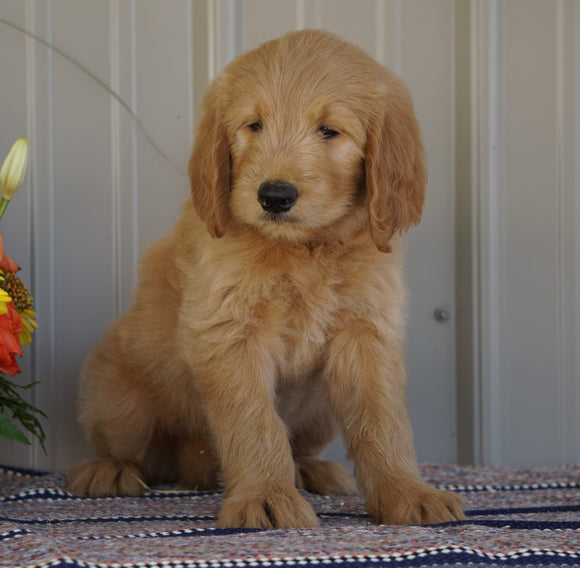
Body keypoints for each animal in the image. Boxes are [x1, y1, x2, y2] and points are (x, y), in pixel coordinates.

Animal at [68, 30, 464, 528]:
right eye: (254, 125)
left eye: (329, 130)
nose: (274, 196)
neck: (305, 249)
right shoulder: (230, 330)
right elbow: (254, 420)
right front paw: (265, 496)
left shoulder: (367, 331)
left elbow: (383, 419)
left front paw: (406, 490)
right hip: (119, 397)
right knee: (130, 446)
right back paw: (108, 471)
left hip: (319, 413)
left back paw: (310, 469)